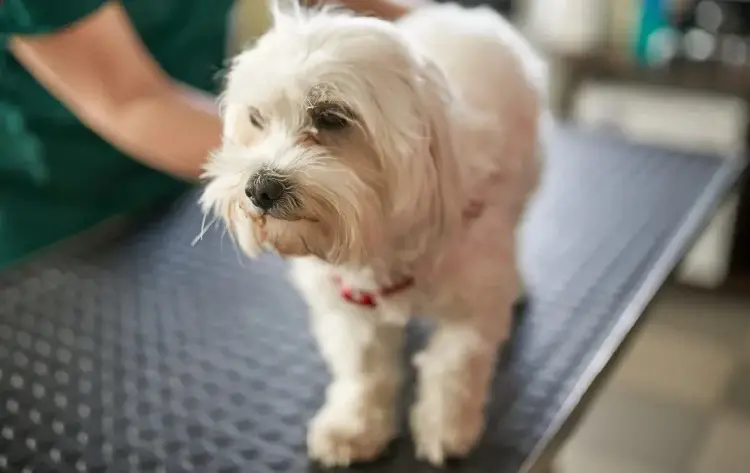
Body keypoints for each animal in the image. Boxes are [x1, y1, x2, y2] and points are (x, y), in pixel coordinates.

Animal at [203, 1, 548, 466]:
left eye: (331, 117)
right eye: (256, 119)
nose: (260, 187)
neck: (382, 243)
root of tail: (465, 14)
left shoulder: (473, 305)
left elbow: (453, 367)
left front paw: (446, 427)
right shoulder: (348, 304)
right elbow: (364, 370)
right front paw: (354, 428)